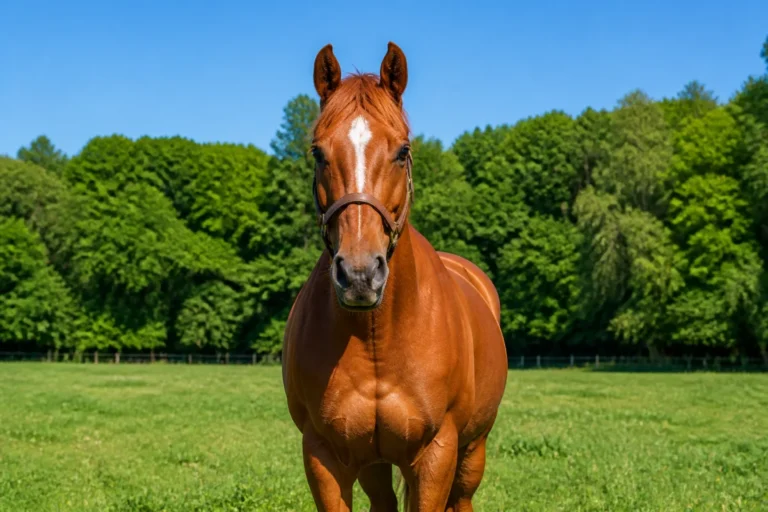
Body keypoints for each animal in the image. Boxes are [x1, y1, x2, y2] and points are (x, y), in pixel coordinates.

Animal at [282, 42, 508, 511]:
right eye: (317, 152)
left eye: (403, 150)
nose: (360, 274)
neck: (376, 336)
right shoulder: (323, 456)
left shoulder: (437, 454)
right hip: (375, 463)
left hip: (472, 451)